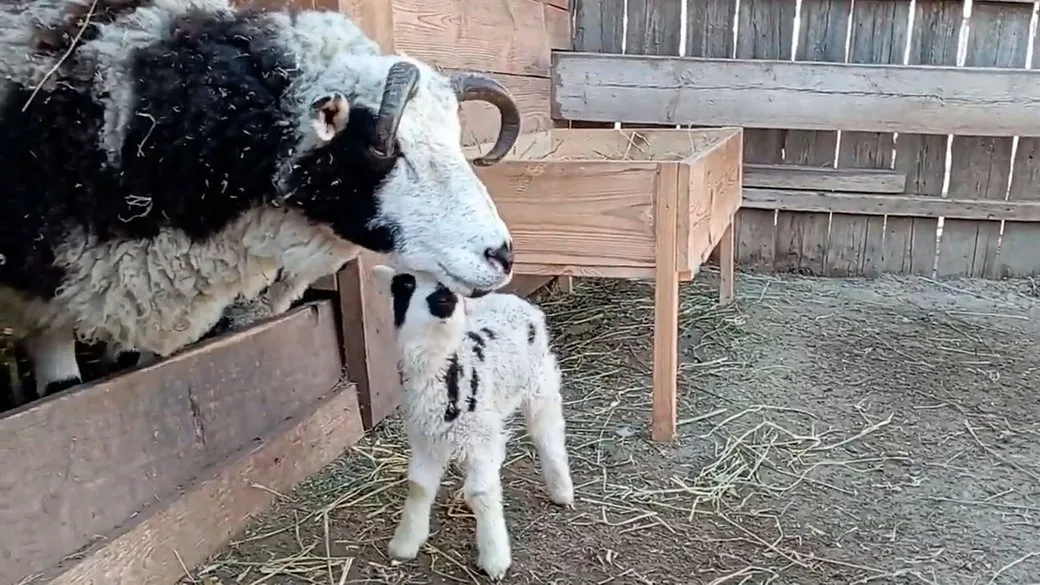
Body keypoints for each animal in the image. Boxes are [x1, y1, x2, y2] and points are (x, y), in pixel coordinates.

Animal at [370, 264, 574, 578]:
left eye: (446, 282)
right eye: (406, 284)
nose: (442, 297)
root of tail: (514, 300)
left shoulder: (477, 437)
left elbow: (482, 491)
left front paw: (495, 560)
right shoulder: (425, 439)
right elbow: (419, 487)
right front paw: (404, 545)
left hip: (540, 383)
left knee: (548, 432)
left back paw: (562, 491)